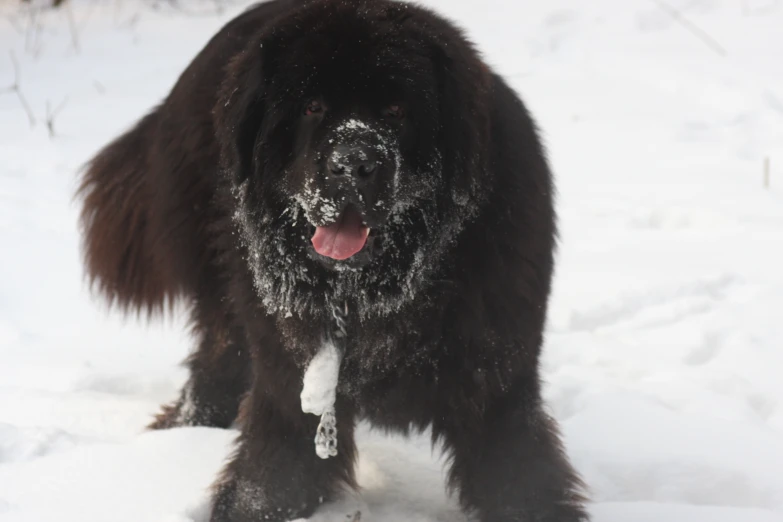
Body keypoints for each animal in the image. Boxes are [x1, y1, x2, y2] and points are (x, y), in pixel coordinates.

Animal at [78, 1, 588, 520]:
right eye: (312, 107)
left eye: (397, 110)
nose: (352, 164)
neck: (375, 292)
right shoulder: (288, 384)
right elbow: (269, 480)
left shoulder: (493, 383)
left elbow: (518, 481)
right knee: (217, 358)